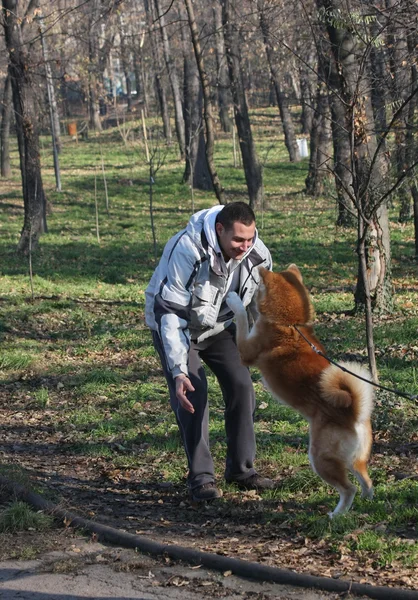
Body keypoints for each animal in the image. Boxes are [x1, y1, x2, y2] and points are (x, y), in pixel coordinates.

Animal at [227, 264, 374, 516]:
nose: (254, 275)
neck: (290, 324)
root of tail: (353, 413)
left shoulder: (246, 351)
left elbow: (243, 319)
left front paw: (235, 301)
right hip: (356, 459)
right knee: (366, 481)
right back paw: (367, 502)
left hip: (320, 458)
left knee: (348, 489)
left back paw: (336, 514)